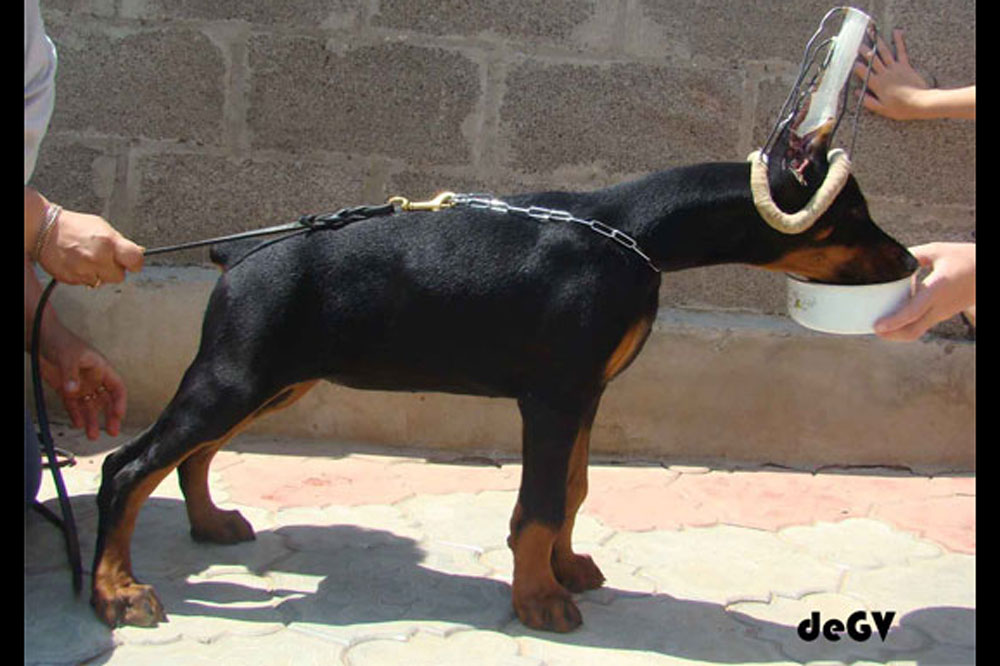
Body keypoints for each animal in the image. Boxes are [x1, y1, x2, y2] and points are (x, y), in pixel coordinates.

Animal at [90, 127, 916, 632]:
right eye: (853, 216)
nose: (910, 261)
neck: (635, 234)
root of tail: (238, 253)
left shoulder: (586, 395)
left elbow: (574, 491)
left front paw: (568, 569)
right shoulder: (552, 399)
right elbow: (543, 504)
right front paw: (540, 600)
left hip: (269, 379)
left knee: (190, 455)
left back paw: (208, 524)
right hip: (238, 373)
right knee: (127, 466)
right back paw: (117, 592)